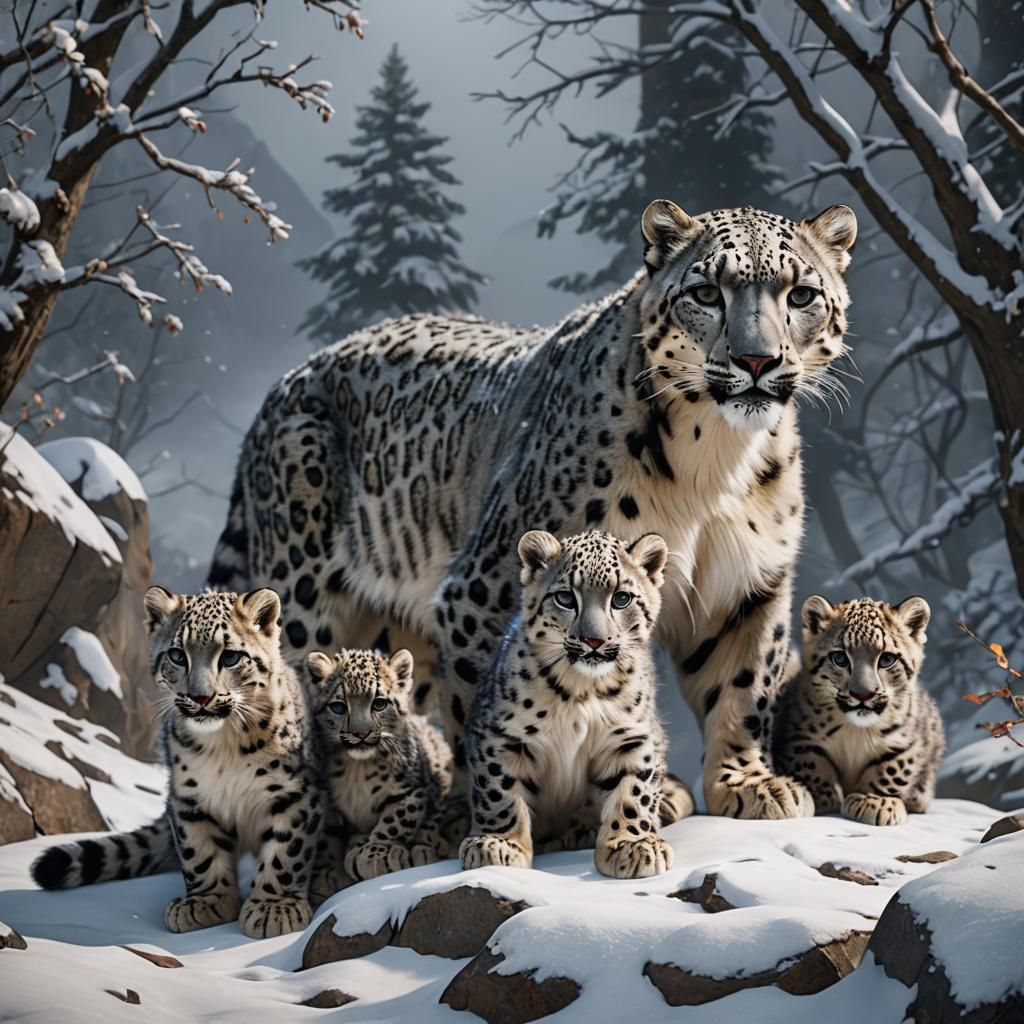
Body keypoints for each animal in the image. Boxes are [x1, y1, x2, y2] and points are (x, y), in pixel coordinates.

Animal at [31, 587, 323, 939]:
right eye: (177, 655)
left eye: (230, 656)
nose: (200, 697)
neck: (225, 747)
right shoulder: (189, 798)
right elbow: (200, 852)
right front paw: (206, 903)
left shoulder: (294, 795)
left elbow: (286, 852)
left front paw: (273, 908)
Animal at [207, 198, 858, 820]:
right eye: (705, 293)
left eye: (801, 294)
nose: (757, 360)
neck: (715, 459)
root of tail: (281, 388)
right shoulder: (483, 589)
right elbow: (487, 707)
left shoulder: (746, 585)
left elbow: (743, 690)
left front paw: (747, 785)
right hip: (304, 594)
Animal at [306, 646, 453, 886]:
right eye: (338, 706)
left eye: (379, 703)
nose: (361, 733)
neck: (356, 769)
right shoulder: (328, 806)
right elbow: (327, 840)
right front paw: (331, 873)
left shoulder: (410, 790)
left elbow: (397, 820)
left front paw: (377, 854)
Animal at [460, 528, 694, 878]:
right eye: (565, 598)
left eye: (621, 598)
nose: (593, 640)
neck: (583, 691)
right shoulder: (500, 735)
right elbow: (499, 791)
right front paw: (497, 843)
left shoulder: (635, 736)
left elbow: (634, 792)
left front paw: (632, 845)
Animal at [774, 594, 944, 826]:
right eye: (840, 658)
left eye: (887, 659)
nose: (863, 694)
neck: (855, 730)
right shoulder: (799, 738)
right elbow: (812, 765)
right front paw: (824, 797)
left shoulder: (908, 741)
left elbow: (891, 769)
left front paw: (875, 801)